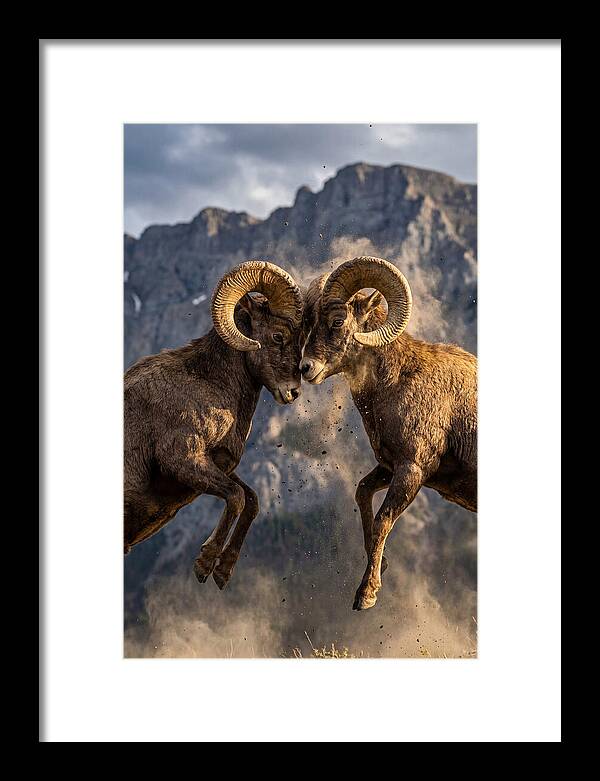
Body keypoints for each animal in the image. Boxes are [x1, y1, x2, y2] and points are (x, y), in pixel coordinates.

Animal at [124, 261, 304, 589]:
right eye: (277, 336)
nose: (293, 392)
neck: (209, 383)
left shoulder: (219, 465)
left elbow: (251, 500)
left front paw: (222, 572)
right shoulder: (183, 460)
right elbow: (236, 498)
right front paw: (204, 564)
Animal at [300, 256, 477, 610]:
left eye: (337, 321)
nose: (306, 368)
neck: (397, 381)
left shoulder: (412, 470)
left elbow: (383, 520)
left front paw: (366, 595)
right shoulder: (388, 467)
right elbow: (362, 493)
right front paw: (380, 566)